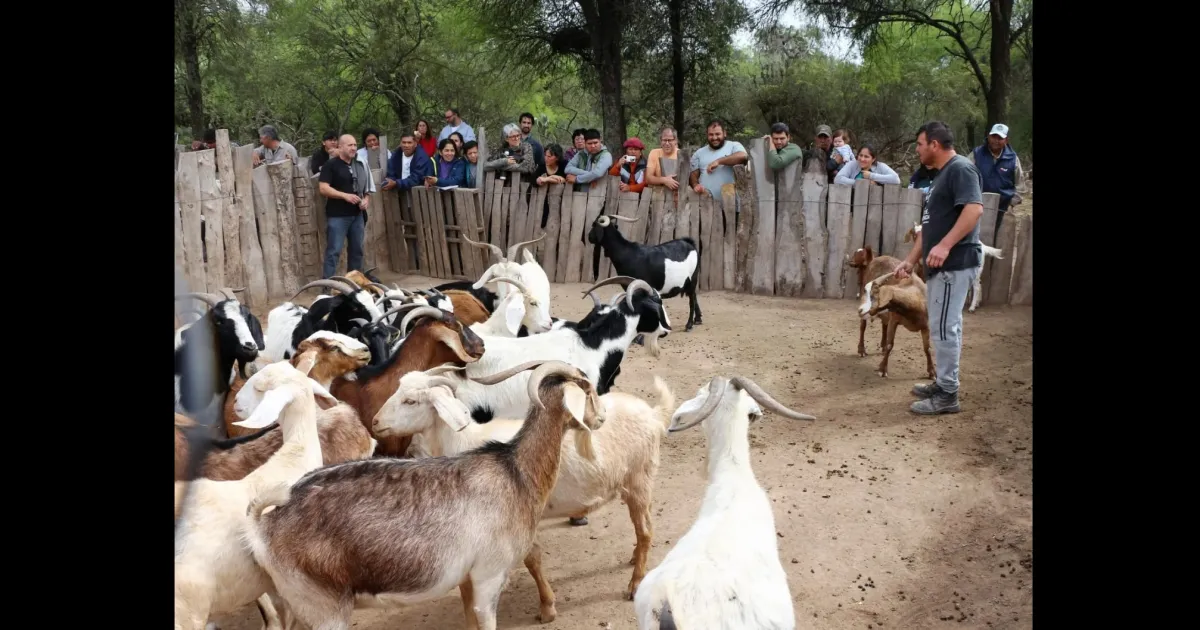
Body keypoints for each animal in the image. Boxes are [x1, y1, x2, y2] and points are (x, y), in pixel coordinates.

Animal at [242, 361, 606, 630]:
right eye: (587, 390)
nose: (601, 418)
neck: (515, 472)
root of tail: (263, 526)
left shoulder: (468, 578)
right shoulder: (488, 576)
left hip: (290, 605)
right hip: (324, 608)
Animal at [374, 365, 677, 615]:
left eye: (410, 401)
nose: (375, 422)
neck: (464, 441)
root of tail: (652, 414)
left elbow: (532, 560)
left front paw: (547, 608)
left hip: (639, 480)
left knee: (645, 530)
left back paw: (634, 584)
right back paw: (635, 558)